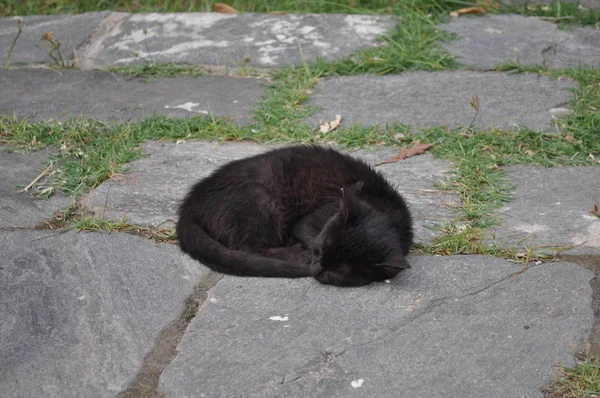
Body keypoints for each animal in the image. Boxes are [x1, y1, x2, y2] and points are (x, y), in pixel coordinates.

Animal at [176, 145, 414, 288]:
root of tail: (190, 202)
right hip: (261, 200)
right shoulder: (308, 221)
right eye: (323, 248)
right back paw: (296, 253)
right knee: (248, 247)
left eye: (340, 271)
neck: (385, 208)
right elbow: (309, 235)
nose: (317, 268)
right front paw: (305, 254)